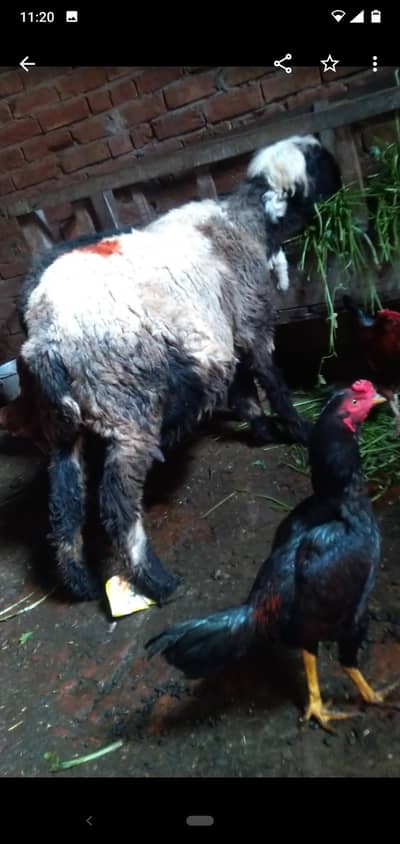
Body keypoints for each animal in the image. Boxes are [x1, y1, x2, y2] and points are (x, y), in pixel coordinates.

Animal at [16, 133, 341, 608]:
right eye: (319, 162)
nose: (340, 179)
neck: (244, 219)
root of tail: (44, 338)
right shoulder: (251, 321)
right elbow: (271, 380)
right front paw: (297, 429)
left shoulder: (220, 332)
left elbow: (241, 385)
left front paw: (260, 428)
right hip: (128, 410)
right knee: (115, 505)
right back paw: (155, 582)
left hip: (62, 427)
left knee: (65, 502)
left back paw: (79, 582)